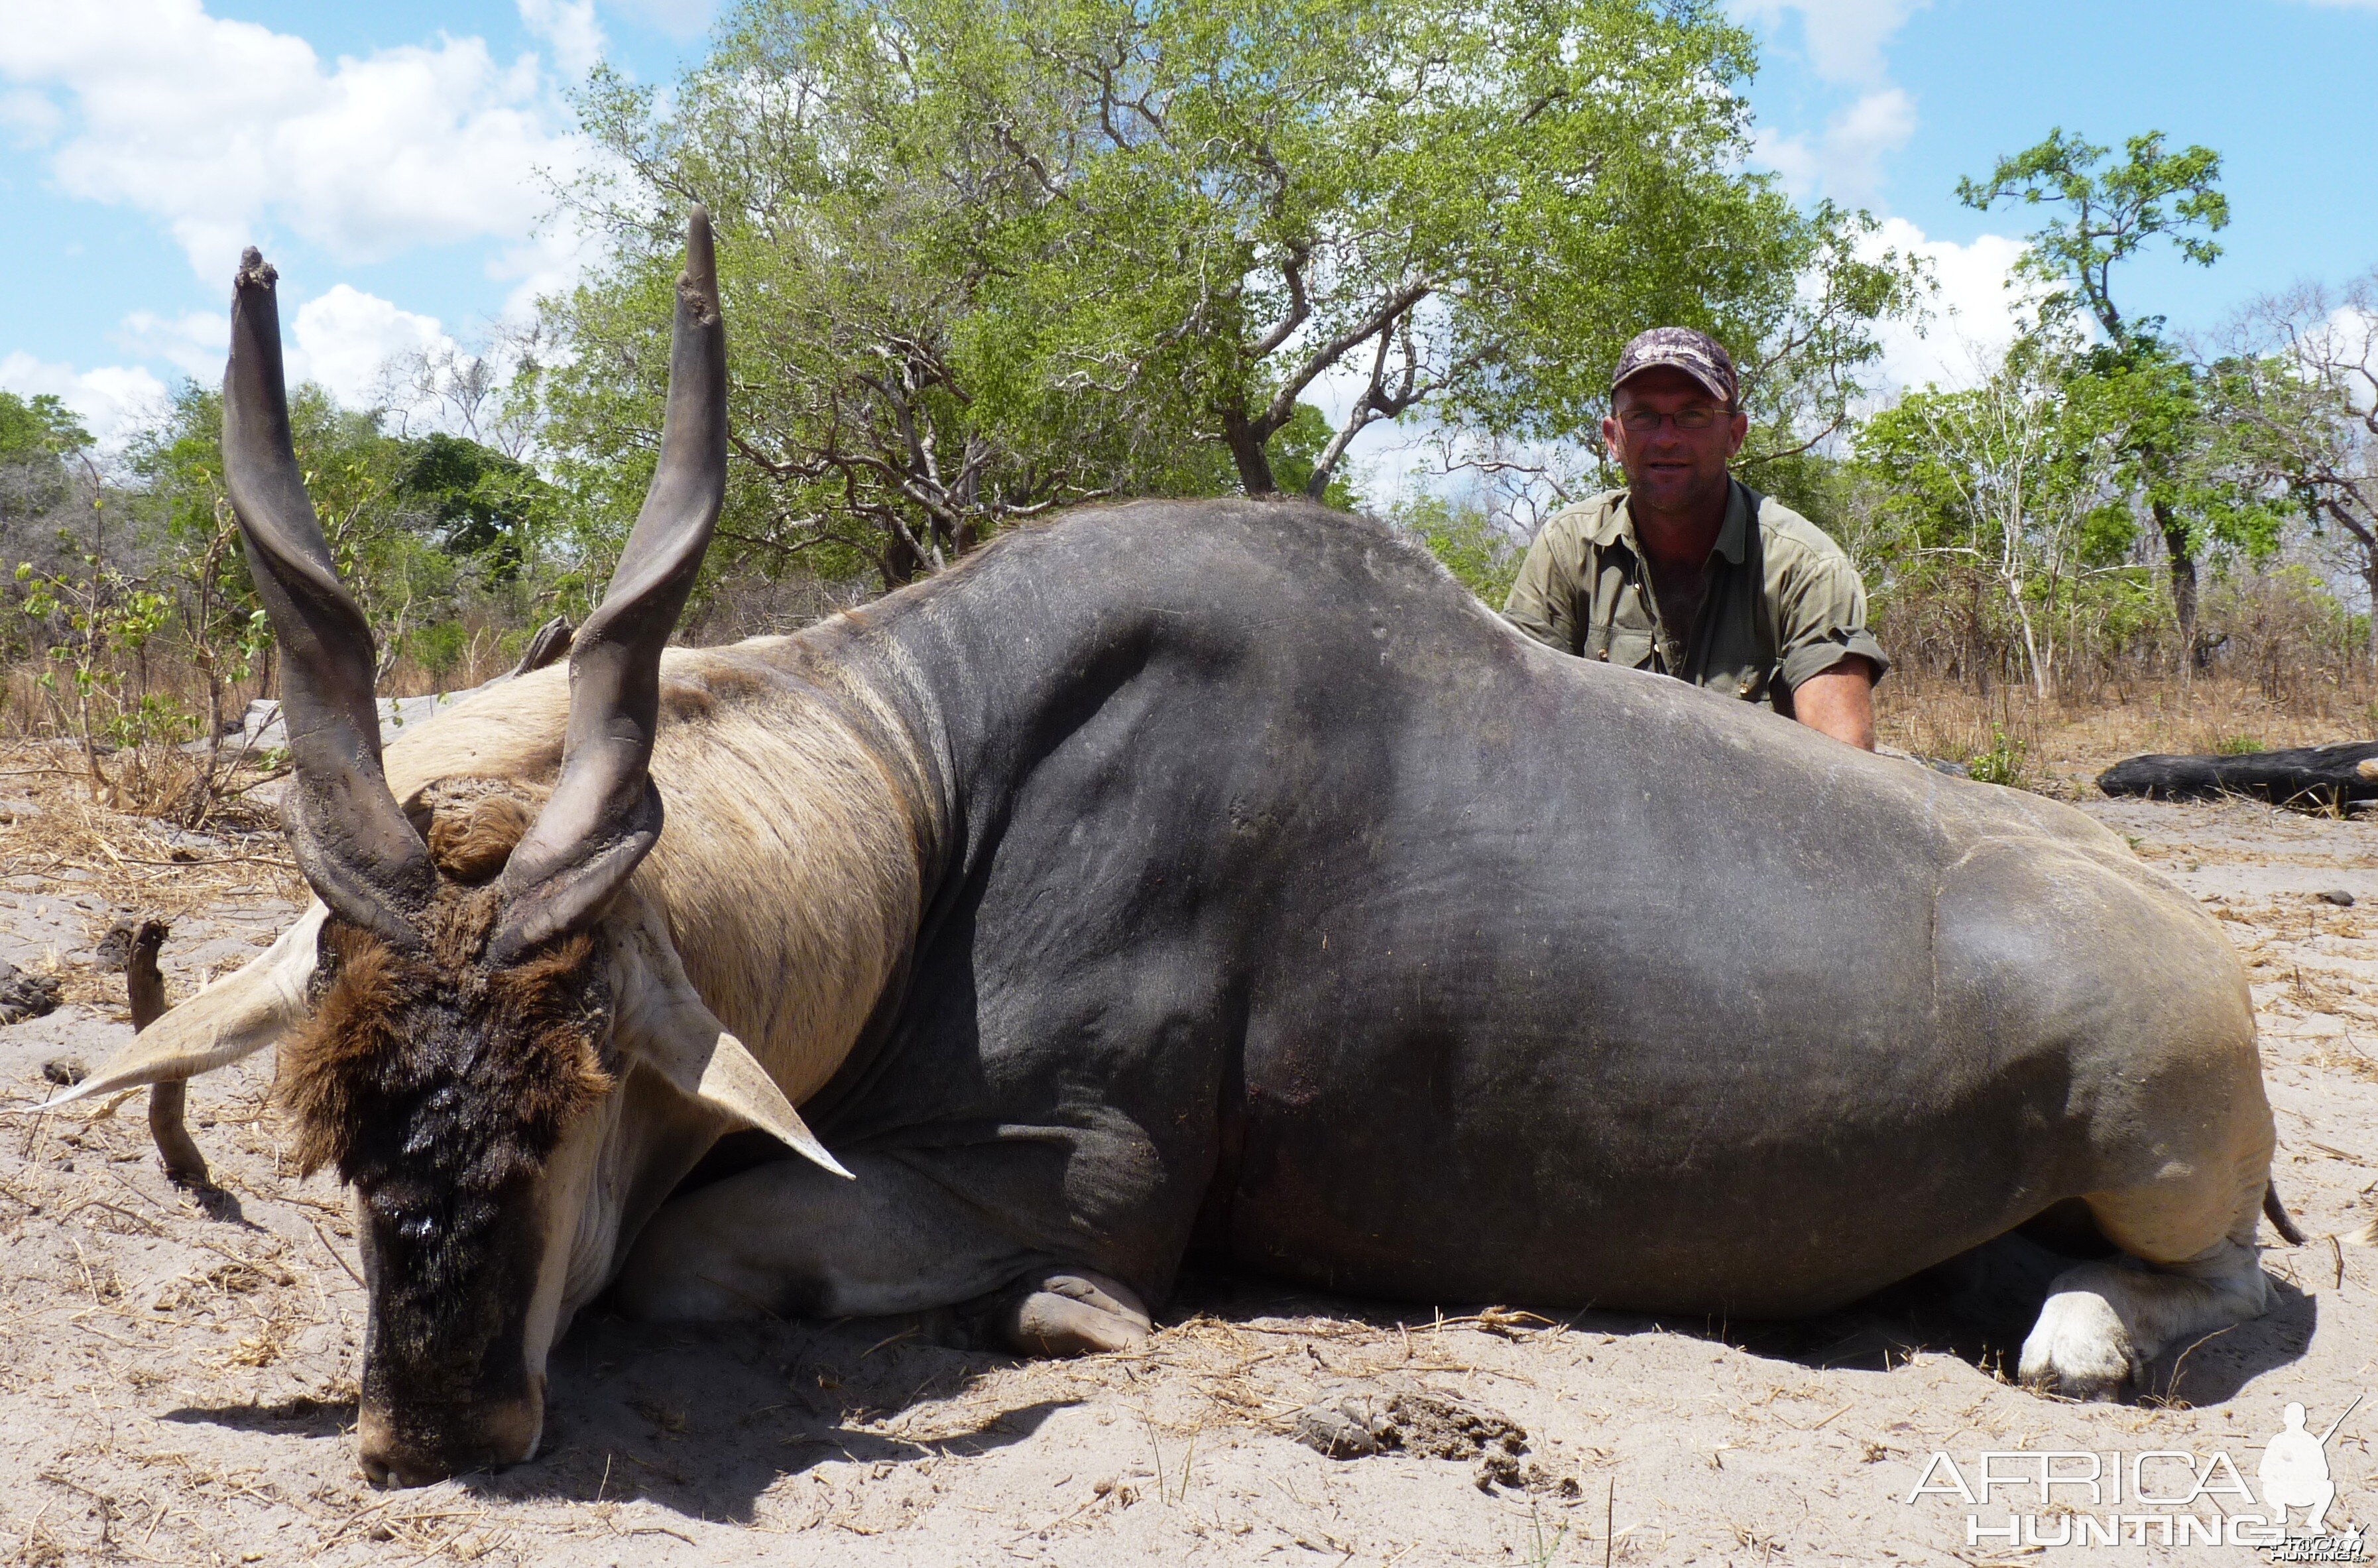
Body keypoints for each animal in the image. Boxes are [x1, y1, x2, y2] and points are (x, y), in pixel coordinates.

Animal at [46, 213, 2283, 1494]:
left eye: (586, 1078)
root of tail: (2198, 962)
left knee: (2225, 1276)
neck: (939, 787)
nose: (433, 1416)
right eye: (341, 1106)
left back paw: (2077, 1330)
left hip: (2153, 1136)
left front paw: (1062, 1328)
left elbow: (773, 1267)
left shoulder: (1083, 1177)